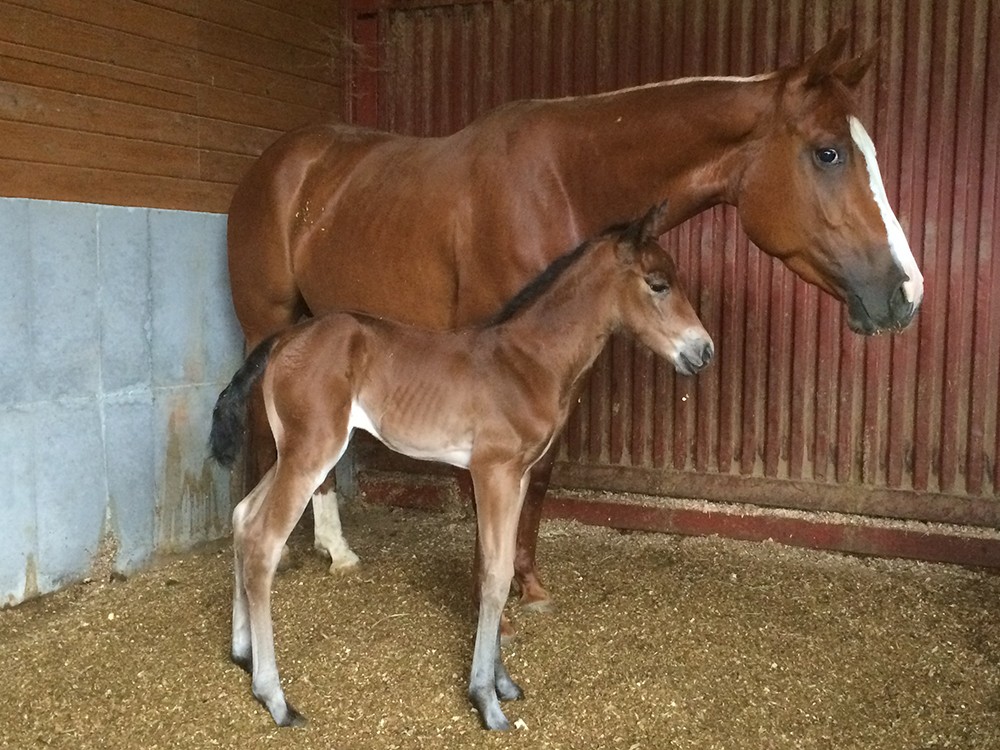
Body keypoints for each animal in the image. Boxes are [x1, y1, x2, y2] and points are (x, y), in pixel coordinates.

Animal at [211, 203, 712, 732]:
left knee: (243, 519)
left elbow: (501, 563)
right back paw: (275, 698)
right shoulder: (494, 471)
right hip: (310, 452)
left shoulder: (517, 476)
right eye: (658, 283)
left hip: (293, 451)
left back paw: (242, 654)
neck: (526, 362)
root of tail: (285, 337)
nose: (704, 352)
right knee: (263, 541)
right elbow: (494, 574)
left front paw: (504, 683)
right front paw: (486, 700)